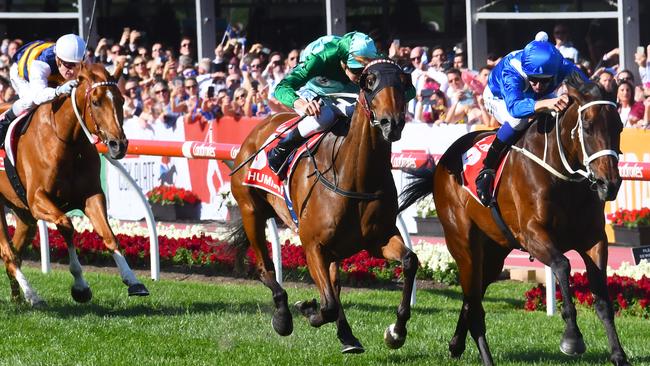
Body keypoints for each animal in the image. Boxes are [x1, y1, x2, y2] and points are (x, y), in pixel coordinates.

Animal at [0, 63, 147, 306]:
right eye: (95, 101)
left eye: (121, 100)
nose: (118, 145)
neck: (67, 141)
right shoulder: (37, 199)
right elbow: (67, 225)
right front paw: (80, 286)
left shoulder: (92, 195)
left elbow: (109, 235)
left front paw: (133, 281)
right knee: (8, 253)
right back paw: (32, 295)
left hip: (24, 214)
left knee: (15, 251)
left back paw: (17, 296)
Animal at [230, 58, 418, 354]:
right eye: (370, 81)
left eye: (402, 81)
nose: (392, 123)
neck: (355, 177)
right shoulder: (313, 246)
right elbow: (327, 304)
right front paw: (307, 310)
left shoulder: (378, 239)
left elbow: (410, 261)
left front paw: (396, 331)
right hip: (251, 210)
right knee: (265, 268)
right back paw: (283, 317)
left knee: (333, 285)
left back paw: (347, 336)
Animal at [398, 73, 624, 364]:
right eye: (587, 126)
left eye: (619, 126)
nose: (611, 184)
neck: (563, 175)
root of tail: (443, 162)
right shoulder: (532, 234)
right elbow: (562, 265)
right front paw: (572, 337)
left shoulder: (593, 239)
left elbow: (603, 300)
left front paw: (618, 354)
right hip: (463, 243)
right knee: (474, 302)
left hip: (494, 251)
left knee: (472, 297)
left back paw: (456, 344)